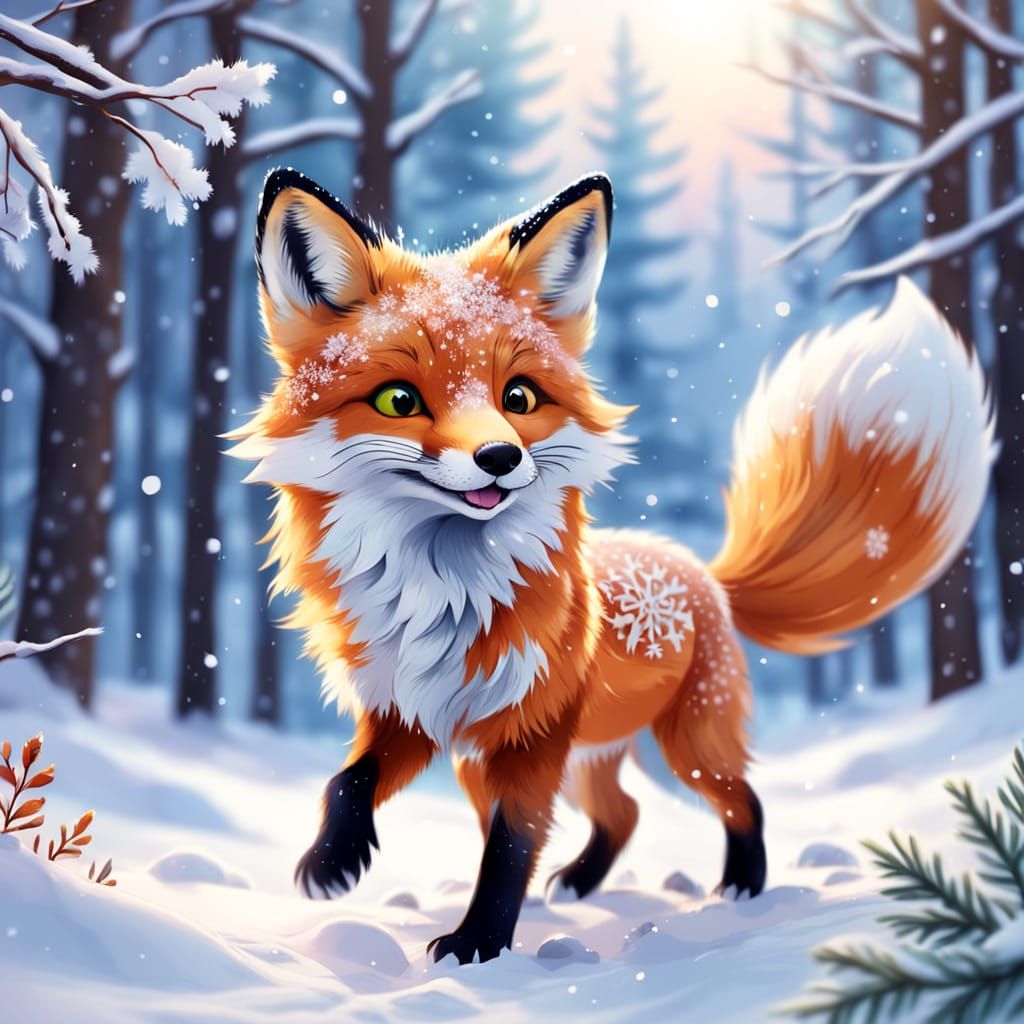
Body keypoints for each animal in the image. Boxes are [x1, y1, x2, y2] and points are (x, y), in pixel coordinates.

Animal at [229, 168, 995, 965]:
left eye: (519, 397)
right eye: (398, 399)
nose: (500, 457)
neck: (444, 596)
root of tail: (700, 571)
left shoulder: (531, 736)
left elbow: (508, 845)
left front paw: (479, 942)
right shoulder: (409, 712)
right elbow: (349, 782)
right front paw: (331, 864)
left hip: (682, 748)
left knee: (742, 798)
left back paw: (743, 886)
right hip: (545, 759)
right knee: (622, 813)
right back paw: (579, 884)